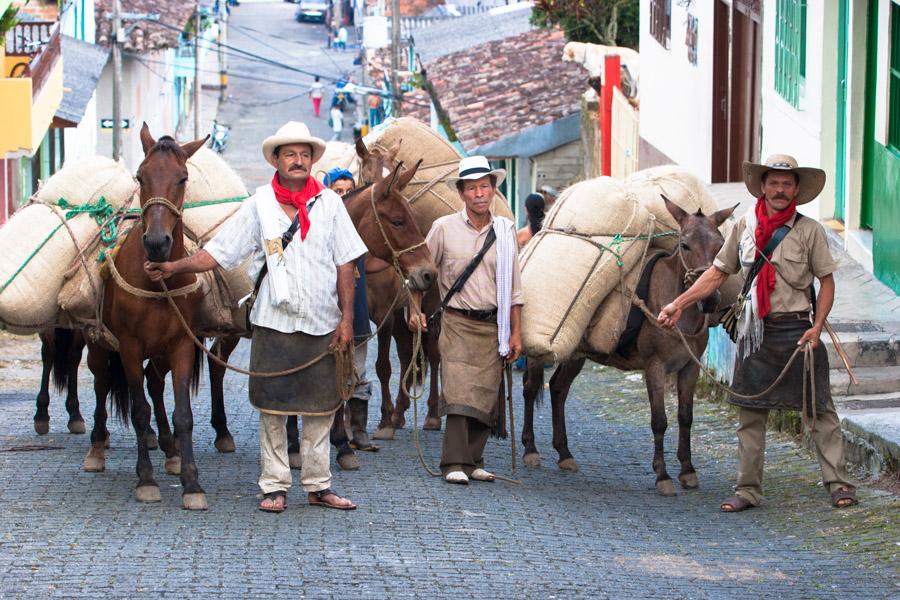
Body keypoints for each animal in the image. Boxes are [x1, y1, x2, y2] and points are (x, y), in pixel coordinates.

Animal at [79, 124, 209, 508]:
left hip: (161, 351)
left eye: (182, 178)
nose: (156, 243)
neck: (158, 278)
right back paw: (97, 447)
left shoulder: (181, 344)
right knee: (102, 382)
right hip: (100, 345)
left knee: (155, 381)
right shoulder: (131, 347)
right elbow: (138, 410)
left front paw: (191, 481)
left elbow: (184, 414)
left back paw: (169, 449)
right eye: (140, 176)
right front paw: (146, 479)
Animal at [520, 199, 740, 494]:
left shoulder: (689, 368)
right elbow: (659, 420)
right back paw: (530, 449)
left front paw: (688, 471)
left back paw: (564, 453)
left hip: (575, 351)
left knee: (557, 388)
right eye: (684, 245)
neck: (675, 306)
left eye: (721, 244)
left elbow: (686, 417)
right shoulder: (655, 366)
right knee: (531, 388)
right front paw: (663, 475)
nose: (710, 300)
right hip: (539, 348)